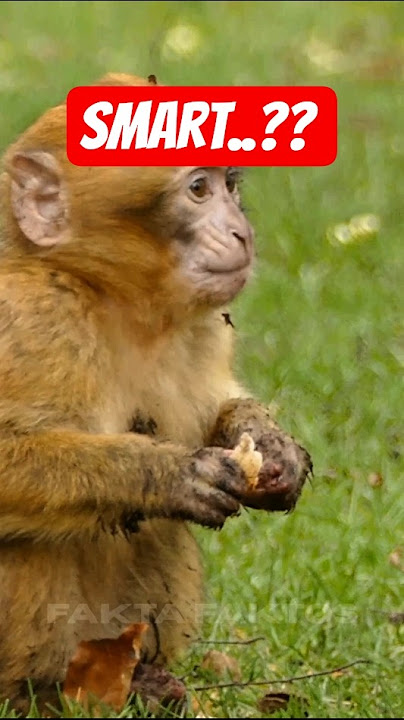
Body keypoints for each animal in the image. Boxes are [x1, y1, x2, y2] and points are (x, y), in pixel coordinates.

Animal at [0, 72, 311, 713]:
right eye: (197, 189)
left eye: (229, 186)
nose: (242, 231)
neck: (112, 300)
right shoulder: (31, 318)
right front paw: (167, 475)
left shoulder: (203, 329)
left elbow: (219, 407)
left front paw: (271, 446)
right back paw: (38, 693)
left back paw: (144, 679)